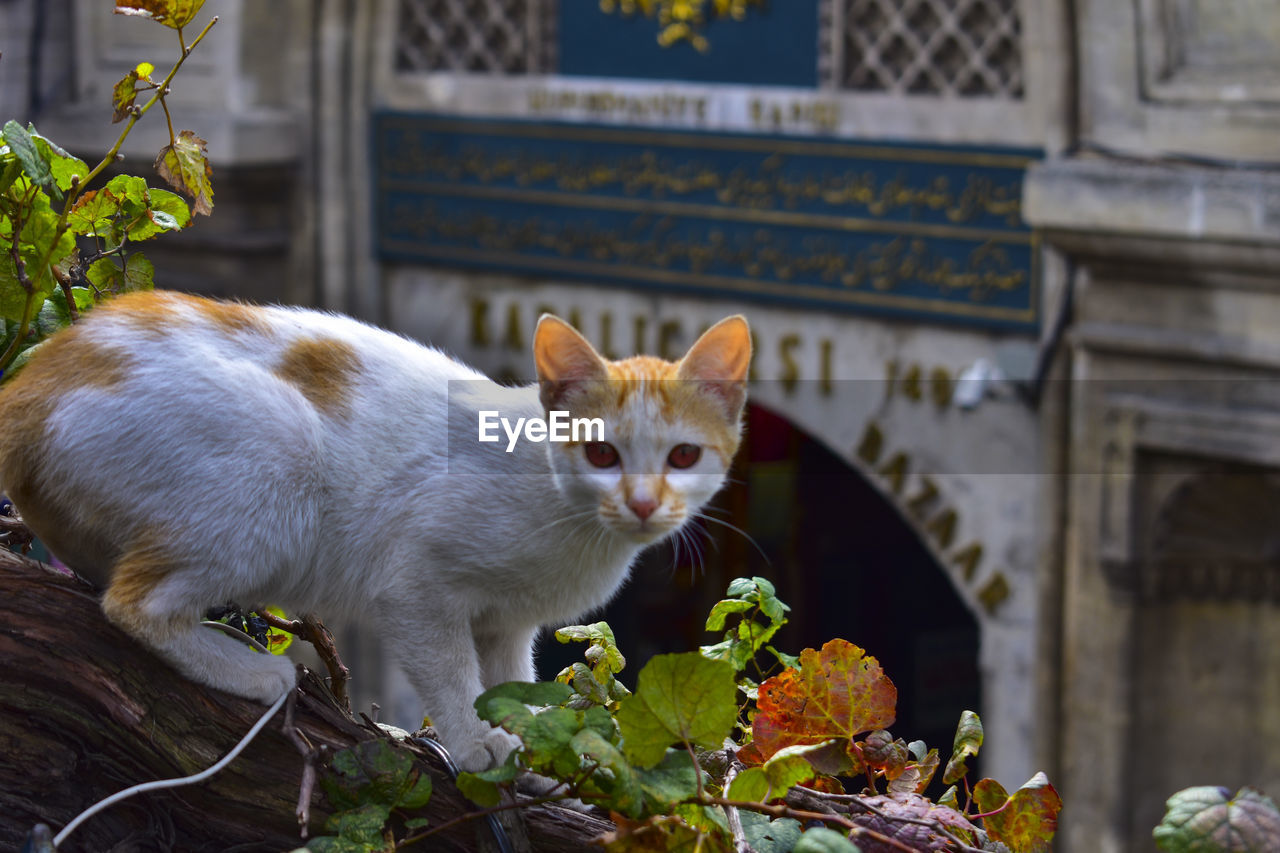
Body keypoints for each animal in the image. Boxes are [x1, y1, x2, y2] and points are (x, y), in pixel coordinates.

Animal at [0, 290, 747, 768]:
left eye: (683, 457)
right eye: (601, 454)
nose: (644, 502)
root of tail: (34, 381)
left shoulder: (507, 624)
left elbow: (508, 679)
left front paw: (525, 738)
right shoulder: (417, 582)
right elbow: (451, 673)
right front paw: (473, 741)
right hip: (279, 448)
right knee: (134, 604)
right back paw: (250, 670)